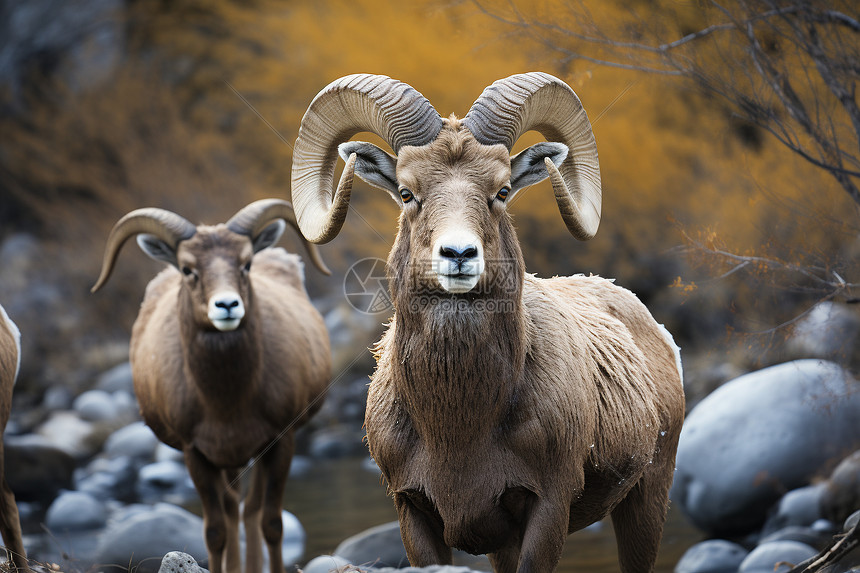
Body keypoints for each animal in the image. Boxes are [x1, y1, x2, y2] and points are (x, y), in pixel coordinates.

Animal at [92, 199, 330, 572]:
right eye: (187, 269)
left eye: (246, 263)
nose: (227, 305)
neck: (227, 405)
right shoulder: (196, 454)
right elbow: (215, 531)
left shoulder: (281, 440)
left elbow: (272, 523)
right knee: (234, 511)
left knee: (250, 510)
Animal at [292, 73, 688, 568]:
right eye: (406, 193)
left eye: (500, 192)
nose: (459, 254)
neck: (460, 427)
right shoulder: (414, 513)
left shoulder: (547, 507)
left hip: (647, 499)